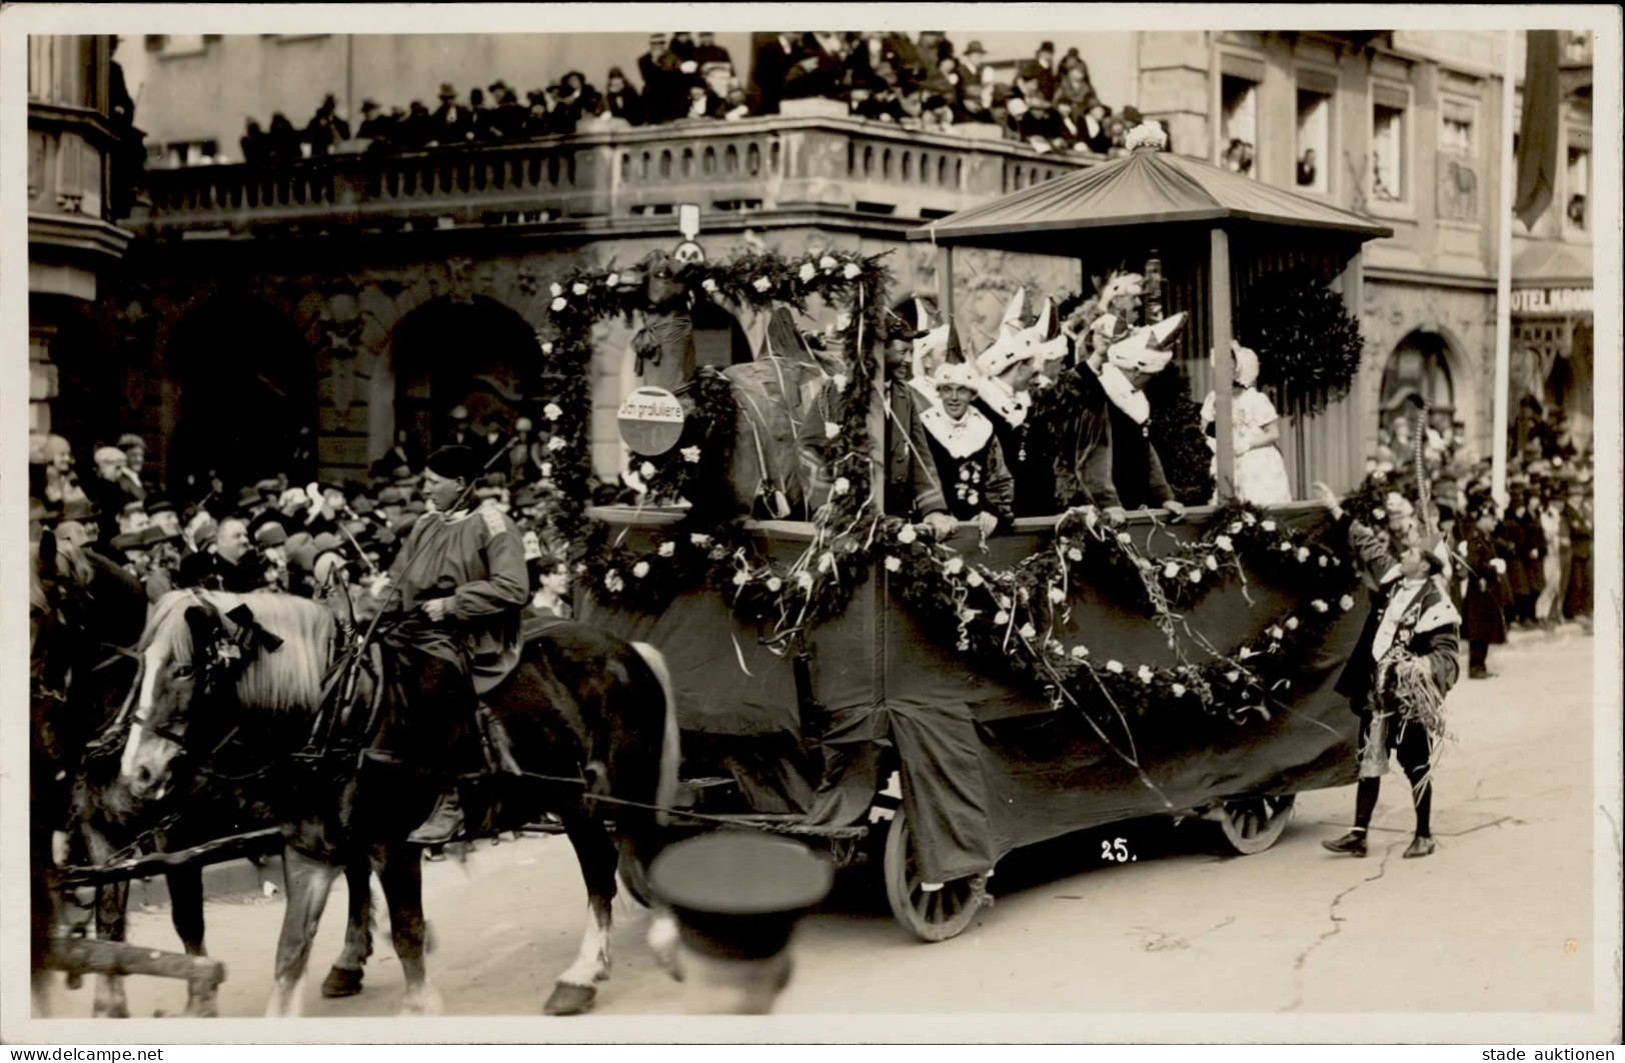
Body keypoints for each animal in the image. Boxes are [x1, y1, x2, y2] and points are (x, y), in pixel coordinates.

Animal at [120, 591, 679, 1014]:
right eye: (140, 667)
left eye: (185, 670)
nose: (137, 772)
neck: (340, 713)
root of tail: (626, 649)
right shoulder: (308, 852)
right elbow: (290, 951)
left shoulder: (394, 845)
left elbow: (408, 930)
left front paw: (419, 1003)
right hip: (575, 799)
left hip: (604, 796)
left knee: (612, 869)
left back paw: (590, 972)